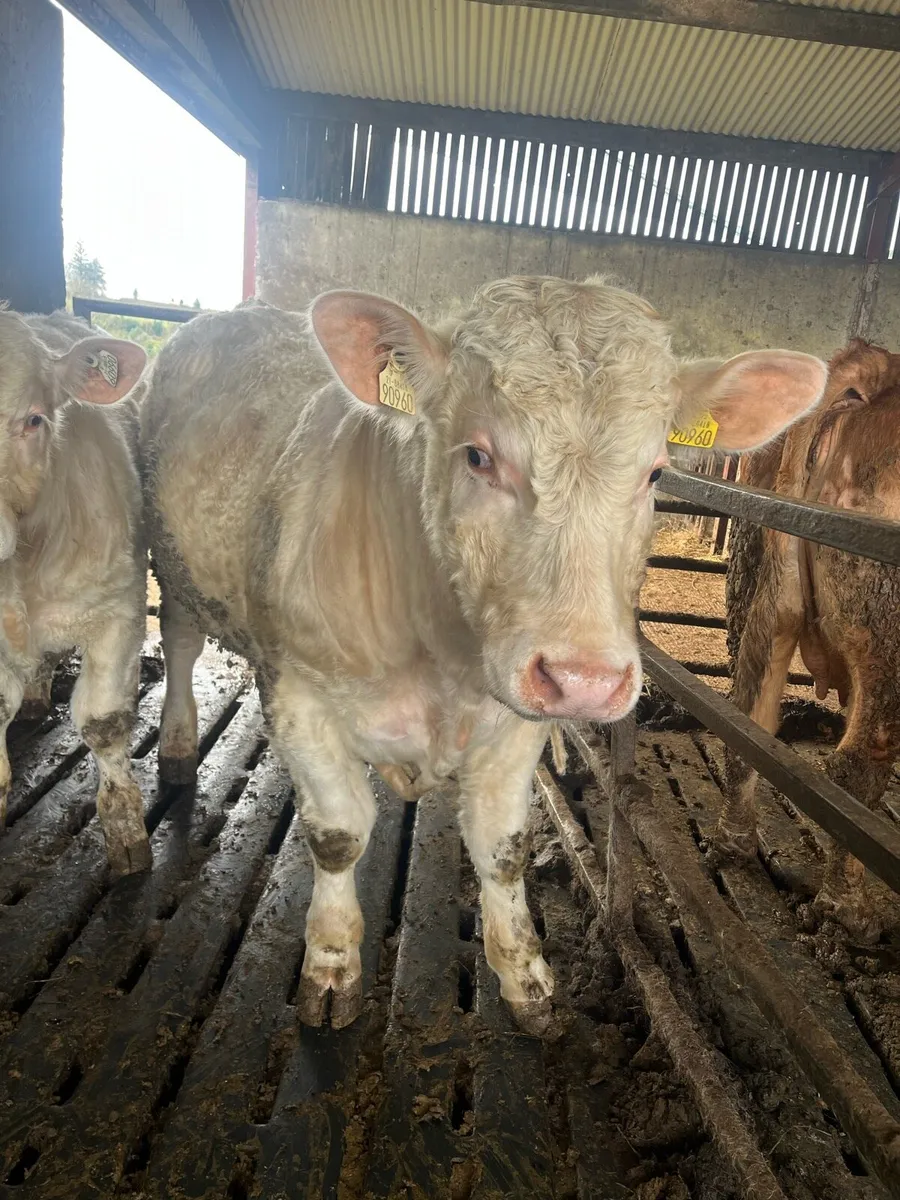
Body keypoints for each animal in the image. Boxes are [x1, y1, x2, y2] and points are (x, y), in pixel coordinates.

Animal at [139, 277, 826, 1033]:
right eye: (477, 456)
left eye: (654, 474)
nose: (586, 678)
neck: (440, 652)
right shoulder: (298, 696)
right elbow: (338, 836)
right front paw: (330, 965)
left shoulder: (513, 727)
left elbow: (502, 851)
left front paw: (526, 977)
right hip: (168, 559)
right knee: (178, 641)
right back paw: (177, 748)